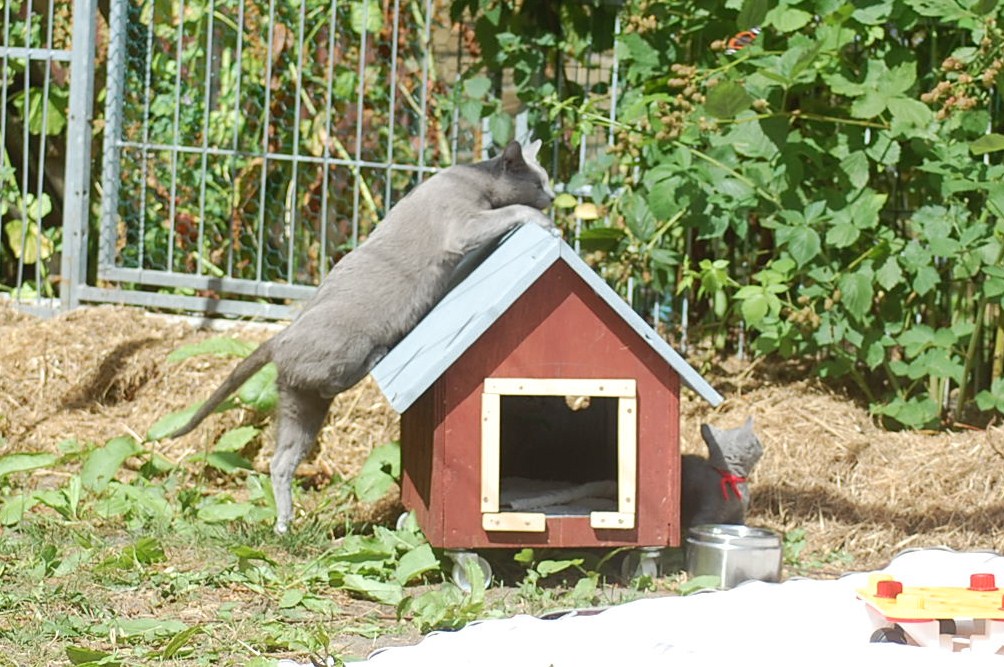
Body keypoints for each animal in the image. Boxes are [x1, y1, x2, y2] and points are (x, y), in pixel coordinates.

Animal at [170, 140, 555, 533]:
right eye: (538, 182)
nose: (553, 196)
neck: (474, 179)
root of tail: (282, 336)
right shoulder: (463, 224)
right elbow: (511, 210)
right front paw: (545, 223)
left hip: (300, 406)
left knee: (281, 460)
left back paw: (283, 523)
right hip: (342, 354)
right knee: (334, 381)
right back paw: (378, 354)